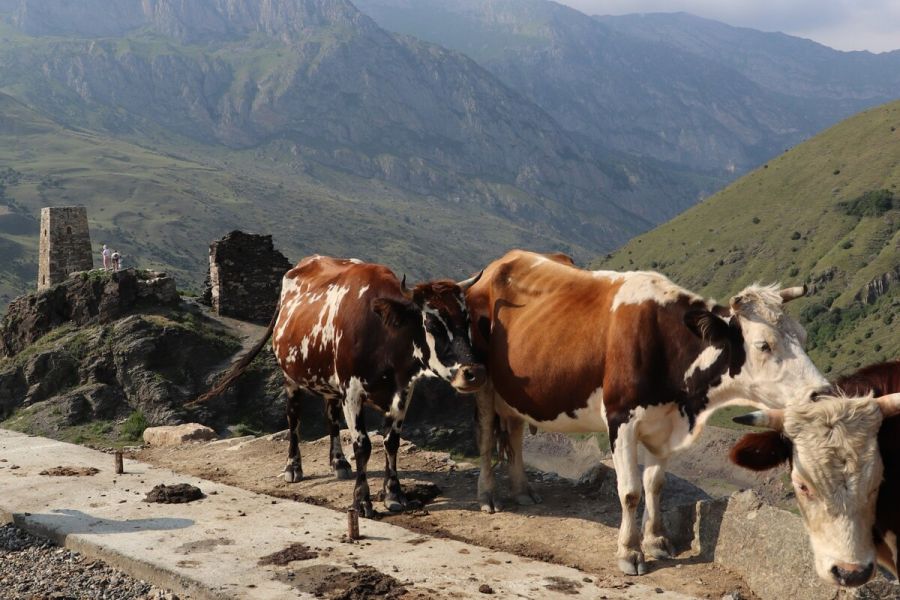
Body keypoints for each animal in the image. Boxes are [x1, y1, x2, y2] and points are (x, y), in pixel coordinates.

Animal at [195, 255, 486, 516]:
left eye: (467, 321)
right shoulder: (352, 391)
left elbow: (391, 441)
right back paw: (293, 467)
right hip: (291, 377)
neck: (383, 337)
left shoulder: (403, 390)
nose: (473, 373)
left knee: (331, 417)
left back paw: (339, 462)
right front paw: (363, 501)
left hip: (330, 384)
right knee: (293, 419)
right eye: (432, 323)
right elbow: (363, 446)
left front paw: (394, 495)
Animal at [468, 250, 828, 576]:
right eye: (763, 345)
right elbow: (630, 491)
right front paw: (629, 552)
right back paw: (489, 496)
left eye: (804, 336)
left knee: (514, 434)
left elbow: (655, 483)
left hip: (514, 394)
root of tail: (502, 261)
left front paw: (656, 540)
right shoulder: (621, 420)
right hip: (480, 381)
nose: (821, 392)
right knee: (485, 439)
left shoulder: (665, 426)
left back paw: (522, 491)